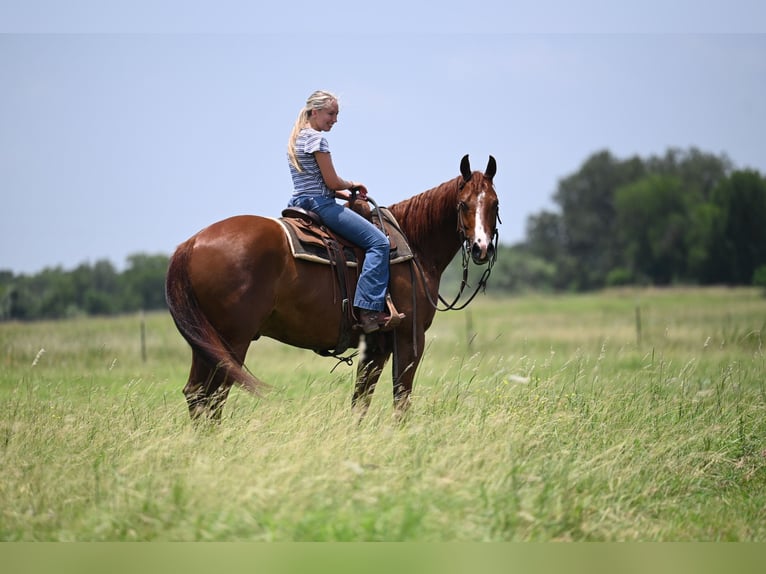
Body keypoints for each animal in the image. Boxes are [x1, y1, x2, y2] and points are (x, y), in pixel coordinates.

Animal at [165, 154, 499, 420]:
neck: (414, 246)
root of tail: (192, 243)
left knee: (197, 394)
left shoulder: (375, 346)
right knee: (213, 396)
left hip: (206, 343)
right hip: (233, 340)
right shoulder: (410, 337)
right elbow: (401, 399)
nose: (481, 248)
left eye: (495, 203)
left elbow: (360, 401)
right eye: (463, 204)